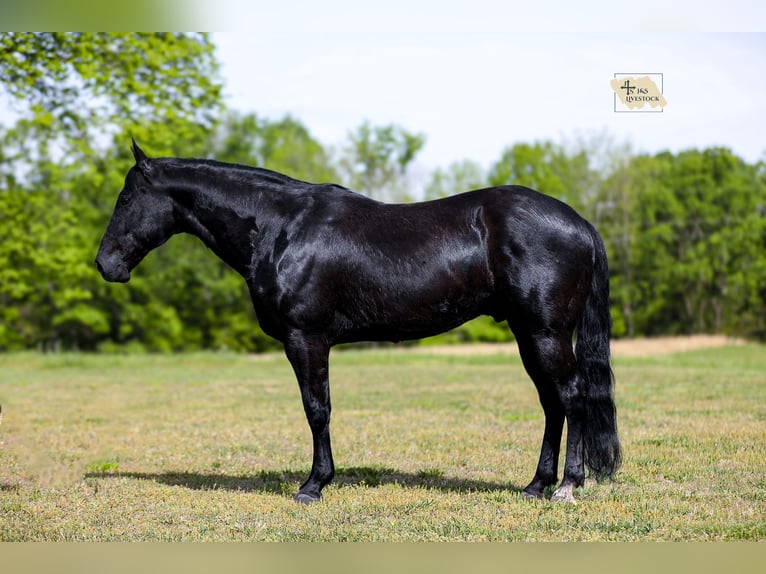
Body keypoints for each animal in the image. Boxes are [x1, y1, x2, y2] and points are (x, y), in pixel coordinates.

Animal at [95, 140, 621, 504]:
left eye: (124, 198)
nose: (105, 265)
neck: (280, 227)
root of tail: (579, 223)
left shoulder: (305, 339)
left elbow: (317, 409)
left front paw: (313, 485)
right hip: (529, 334)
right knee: (553, 404)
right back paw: (536, 484)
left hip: (546, 333)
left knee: (572, 398)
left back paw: (567, 486)